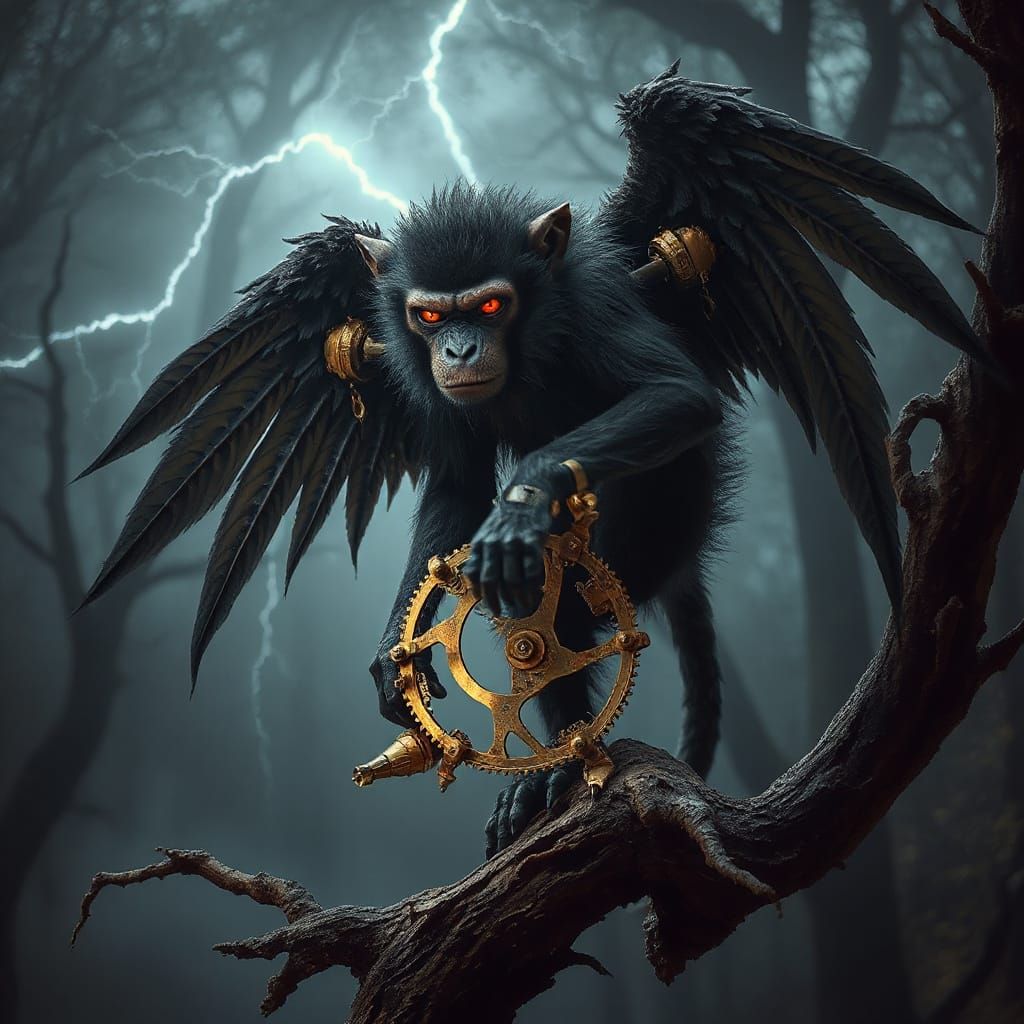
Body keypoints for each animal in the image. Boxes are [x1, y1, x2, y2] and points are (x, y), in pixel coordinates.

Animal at [80, 68, 987, 858]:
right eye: (429, 316)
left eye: (488, 306)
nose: (457, 349)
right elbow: (452, 488)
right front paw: (396, 652)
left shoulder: (601, 307)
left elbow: (673, 396)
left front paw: (518, 509)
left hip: (669, 518)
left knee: (570, 600)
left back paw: (560, 753)